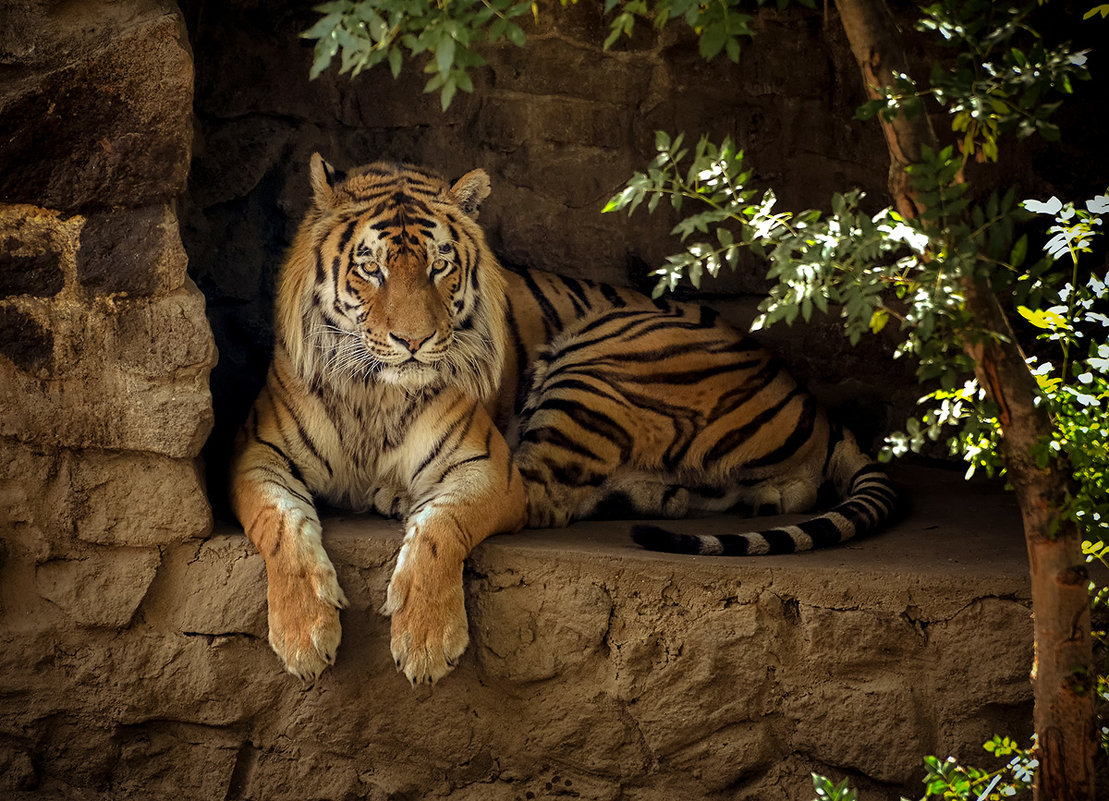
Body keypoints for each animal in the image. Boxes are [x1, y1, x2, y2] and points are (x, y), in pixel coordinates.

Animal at [229, 153, 896, 683]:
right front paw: (303, 638)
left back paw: (392, 496)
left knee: (544, 496)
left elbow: (442, 528)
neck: (375, 393)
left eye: (440, 266)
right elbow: (281, 525)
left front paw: (425, 642)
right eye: (371, 268)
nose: (414, 342)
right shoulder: (258, 457)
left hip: (599, 357)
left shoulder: (486, 468)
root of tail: (805, 392)